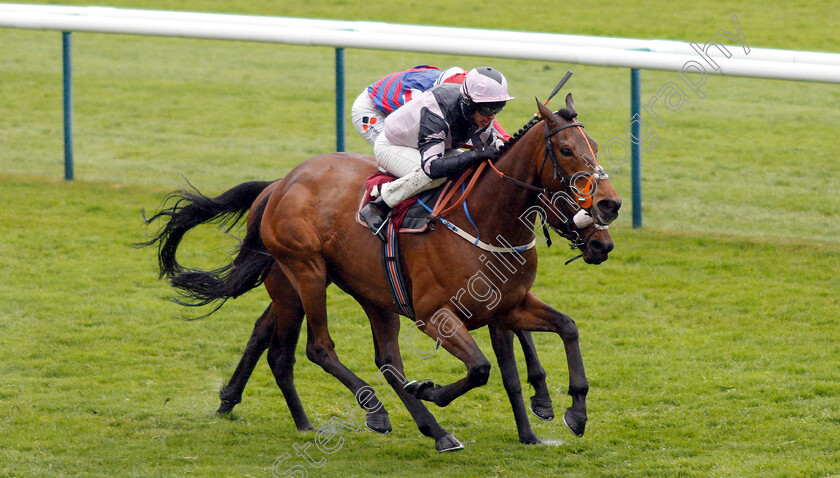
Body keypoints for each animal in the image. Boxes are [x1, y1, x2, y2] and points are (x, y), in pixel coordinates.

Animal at [143, 94, 616, 452]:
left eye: (595, 144)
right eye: (567, 150)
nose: (609, 209)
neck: (483, 219)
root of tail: (280, 183)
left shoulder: (509, 306)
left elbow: (565, 328)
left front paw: (572, 411)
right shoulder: (435, 316)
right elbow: (481, 368)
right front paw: (431, 390)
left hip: (359, 293)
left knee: (371, 358)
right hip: (307, 272)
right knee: (318, 348)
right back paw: (378, 412)